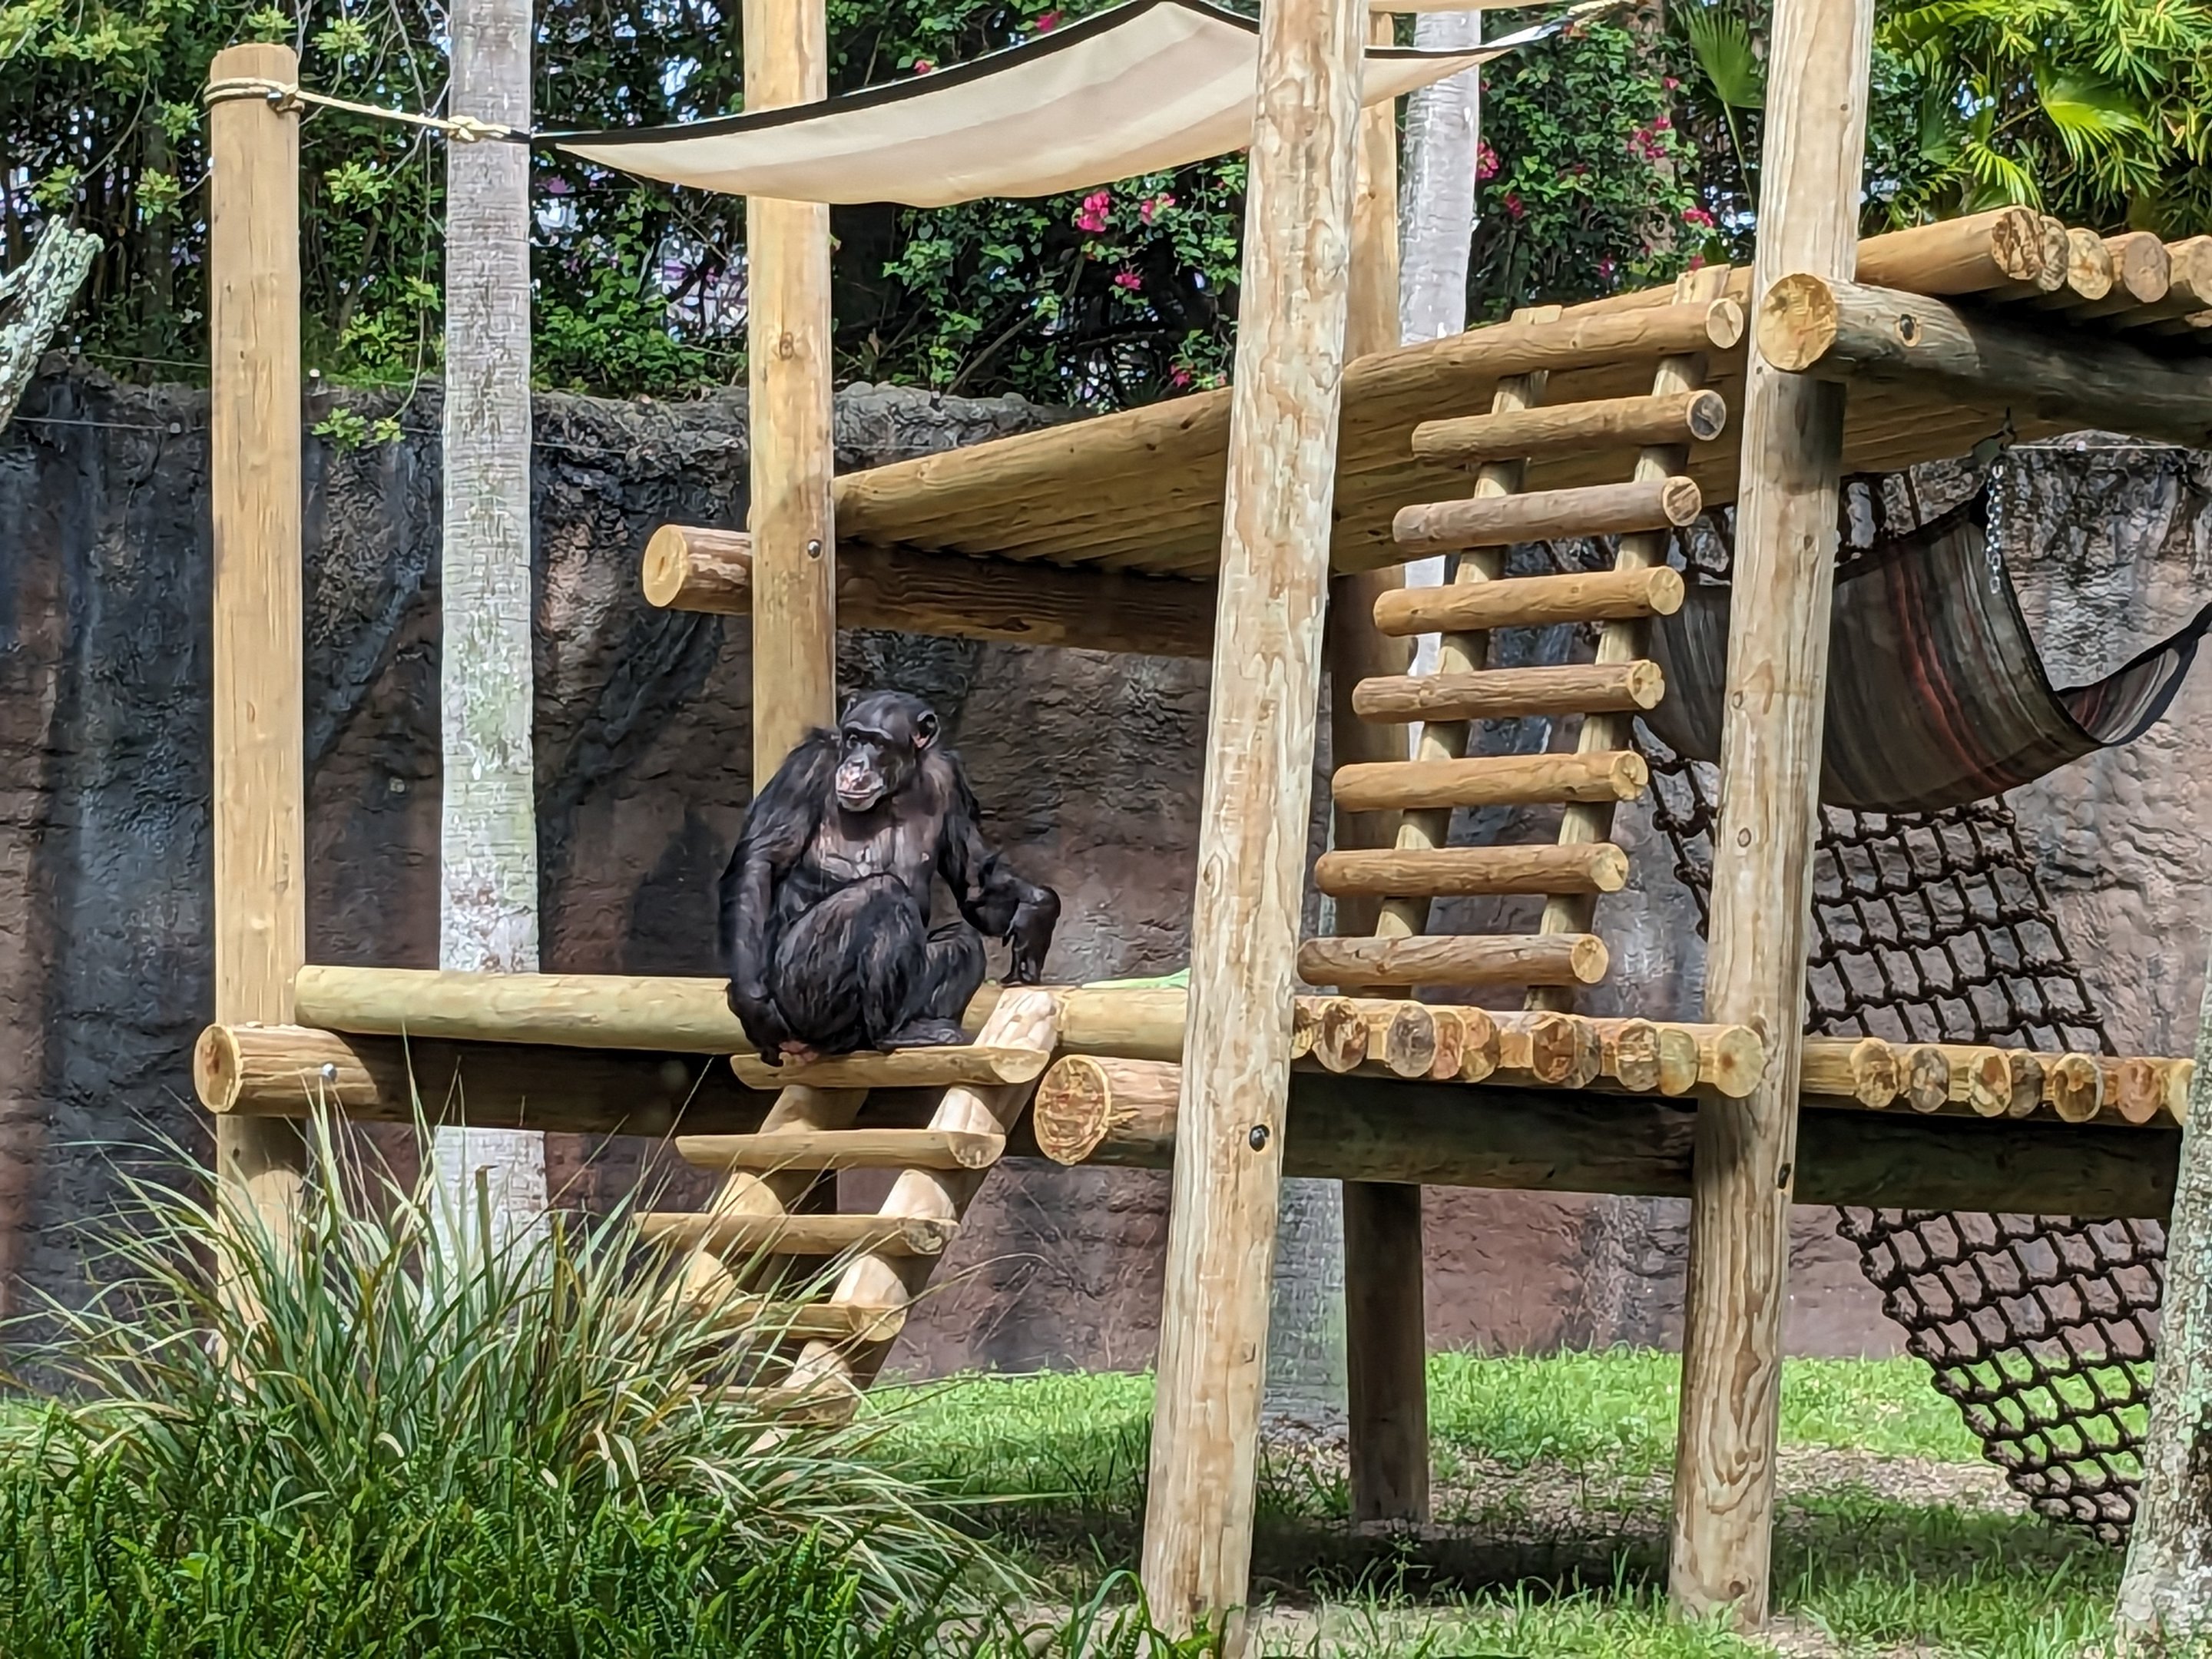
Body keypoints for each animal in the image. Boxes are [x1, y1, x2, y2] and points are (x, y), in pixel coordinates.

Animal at [720, 690, 1060, 1067]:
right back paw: (891, 1035)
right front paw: (753, 1005)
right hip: (799, 997)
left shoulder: (950, 779)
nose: (856, 764)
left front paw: (1038, 911)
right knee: (881, 893)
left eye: (879, 744)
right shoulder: (804, 769)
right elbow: (762, 859)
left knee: (961, 939)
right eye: (854, 738)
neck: (896, 789)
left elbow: (972, 878)